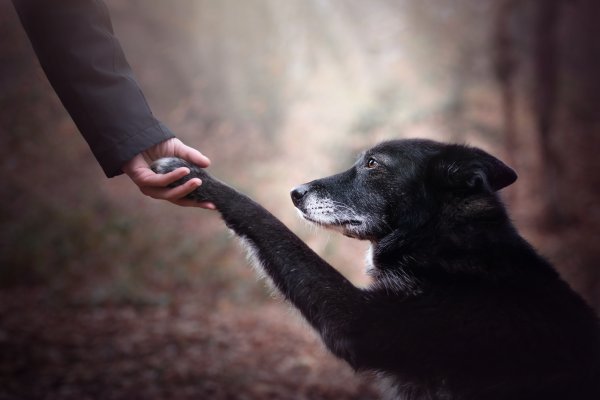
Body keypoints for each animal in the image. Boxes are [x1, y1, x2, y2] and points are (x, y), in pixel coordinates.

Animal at [151, 138, 600, 400]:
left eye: (372, 164)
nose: (295, 192)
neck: (441, 240)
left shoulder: (359, 324)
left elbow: (269, 223)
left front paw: (198, 176)